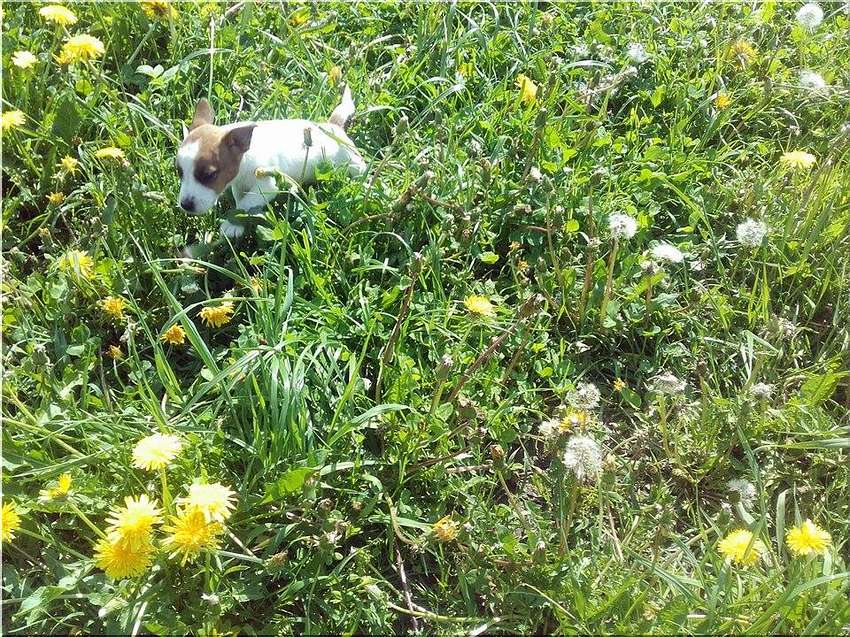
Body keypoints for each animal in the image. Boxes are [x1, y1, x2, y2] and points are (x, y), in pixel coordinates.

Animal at [176, 85, 366, 238]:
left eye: (209, 175)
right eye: (179, 172)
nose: (185, 205)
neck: (245, 159)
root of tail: (333, 127)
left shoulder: (266, 186)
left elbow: (245, 203)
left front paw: (231, 223)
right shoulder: (239, 185)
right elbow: (241, 200)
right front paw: (239, 223)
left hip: (353, 162)